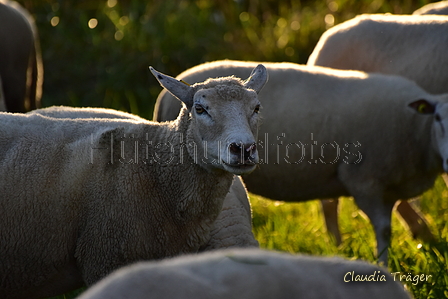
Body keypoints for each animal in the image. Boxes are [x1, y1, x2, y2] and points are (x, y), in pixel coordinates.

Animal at [153, 60, 448, 264]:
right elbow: (384, 231)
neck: (417, 131)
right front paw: (385, 266)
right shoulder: (365, 180)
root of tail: (166, 96)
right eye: (437, 119)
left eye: (257, 108)